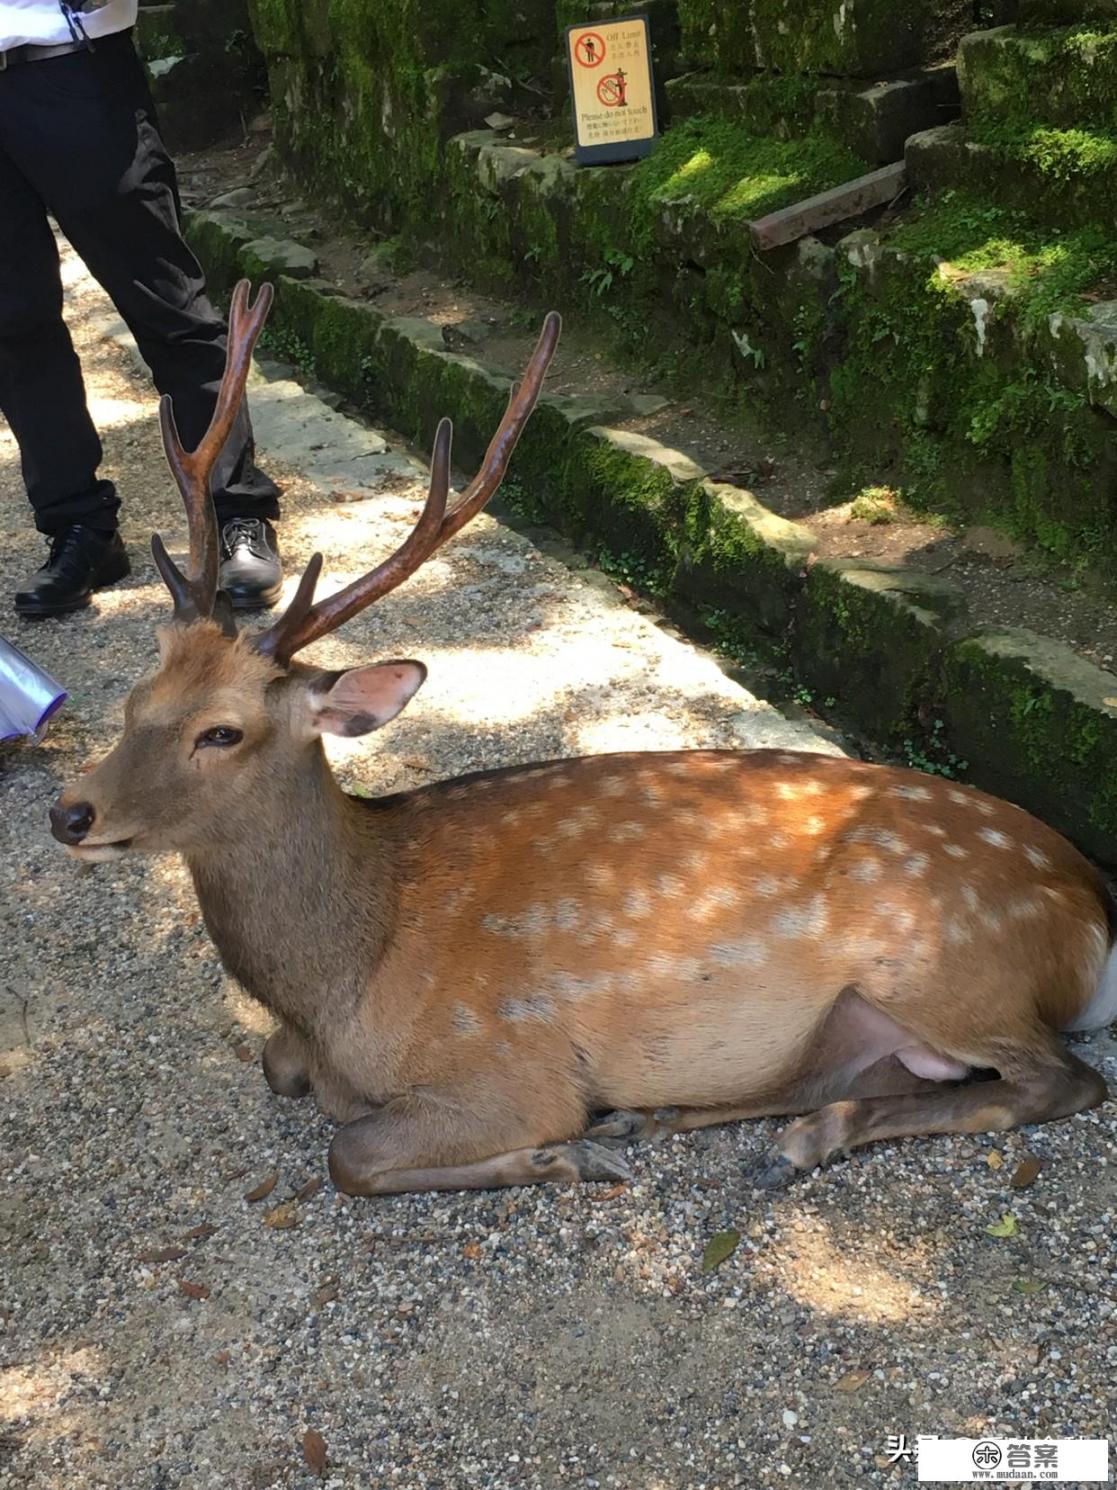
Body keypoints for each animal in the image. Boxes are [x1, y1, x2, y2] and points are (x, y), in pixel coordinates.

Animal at [54, 284, 1117, 1197]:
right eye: (135, 697)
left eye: (221, 731)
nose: (70, 812)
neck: (340, 992)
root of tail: (1090, 904)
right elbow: (279, 1074)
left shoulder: (507, 1064)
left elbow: (349, 1152)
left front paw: (562, 1158)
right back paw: (680, 1120)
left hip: (947, 965)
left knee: (1060, 1081)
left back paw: (769, 1138)